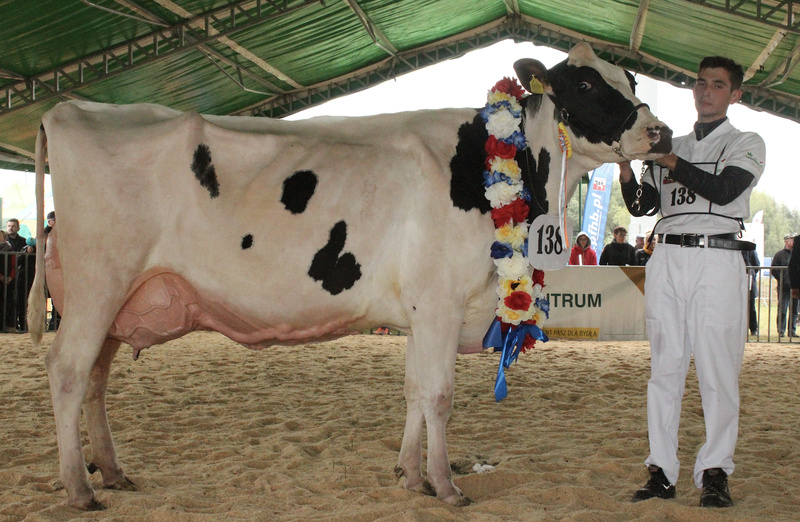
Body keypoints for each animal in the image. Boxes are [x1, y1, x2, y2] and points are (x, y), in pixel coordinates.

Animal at [29, 43, 668, 508]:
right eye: (585, 85)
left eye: (634, 83)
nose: (658, 132)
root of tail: (67, 110)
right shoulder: (439, 301)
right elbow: (438, 395)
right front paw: (446, 485)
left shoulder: (418, 310)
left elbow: (413, 391)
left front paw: (409, 475)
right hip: (98, 284)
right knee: (68, 371)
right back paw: (80, 488)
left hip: (117, 301)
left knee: (95, 379)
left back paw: (112, 472)